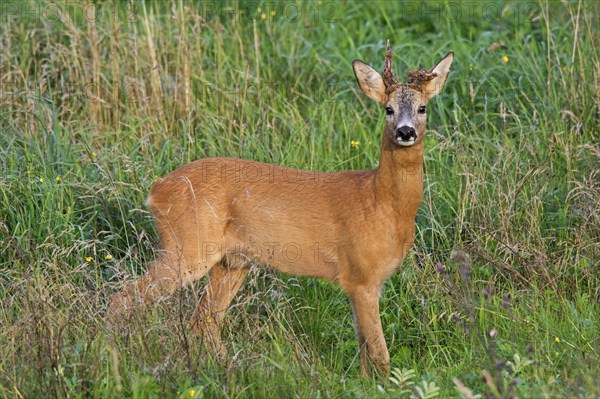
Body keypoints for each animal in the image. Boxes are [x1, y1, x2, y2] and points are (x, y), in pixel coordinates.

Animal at [109, 41, 454, 378]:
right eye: (388, 109)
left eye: (422, 108)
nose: (405, 132)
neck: (382, 203)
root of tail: (155, 190)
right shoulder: (361, 276)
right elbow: (380, 353)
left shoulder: (365, 283)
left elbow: (364, 351)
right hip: (186, 247)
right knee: (122, 299)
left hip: (232, 262)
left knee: (204, 320)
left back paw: (232, 371)